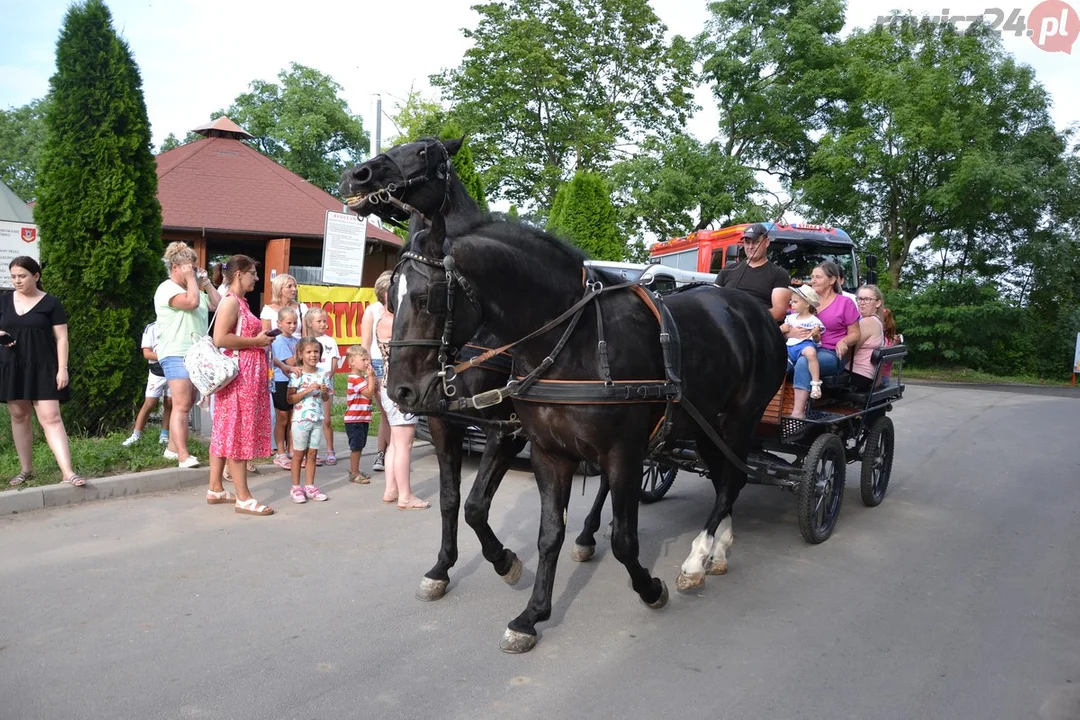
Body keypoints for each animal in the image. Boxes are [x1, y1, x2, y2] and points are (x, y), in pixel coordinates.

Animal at [343, 138, 786, 656]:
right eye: (390, 296)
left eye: (421, 151)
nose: (357, 176)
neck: (569, 339)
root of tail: (748, 309)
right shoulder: (536, 446)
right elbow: (518, 522)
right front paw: (520, 609)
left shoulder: (548, 438)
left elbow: (622, 539)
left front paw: (648, 588)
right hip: (703, 426)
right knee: (721, 480)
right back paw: (703, 547)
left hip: (736, 421)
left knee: (729, 481)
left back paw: (698, 557)